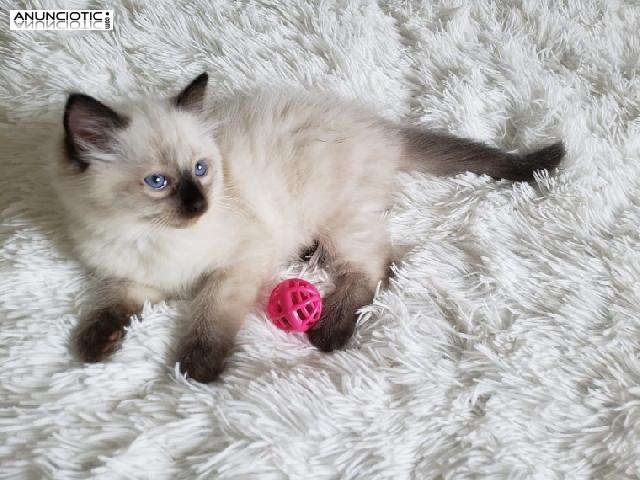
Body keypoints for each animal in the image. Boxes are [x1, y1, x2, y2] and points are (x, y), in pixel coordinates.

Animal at [55, 73, 564, 382]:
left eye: (201, 169)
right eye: (158, 183)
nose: (201, 203)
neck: (149, 237)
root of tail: (384, 129)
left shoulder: (236, 266)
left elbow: (210, 316)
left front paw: (196, 368)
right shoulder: (133, 276)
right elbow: (109, 302)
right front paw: (94, 344)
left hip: (338, 218)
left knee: (373, 267)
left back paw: (329, 331)